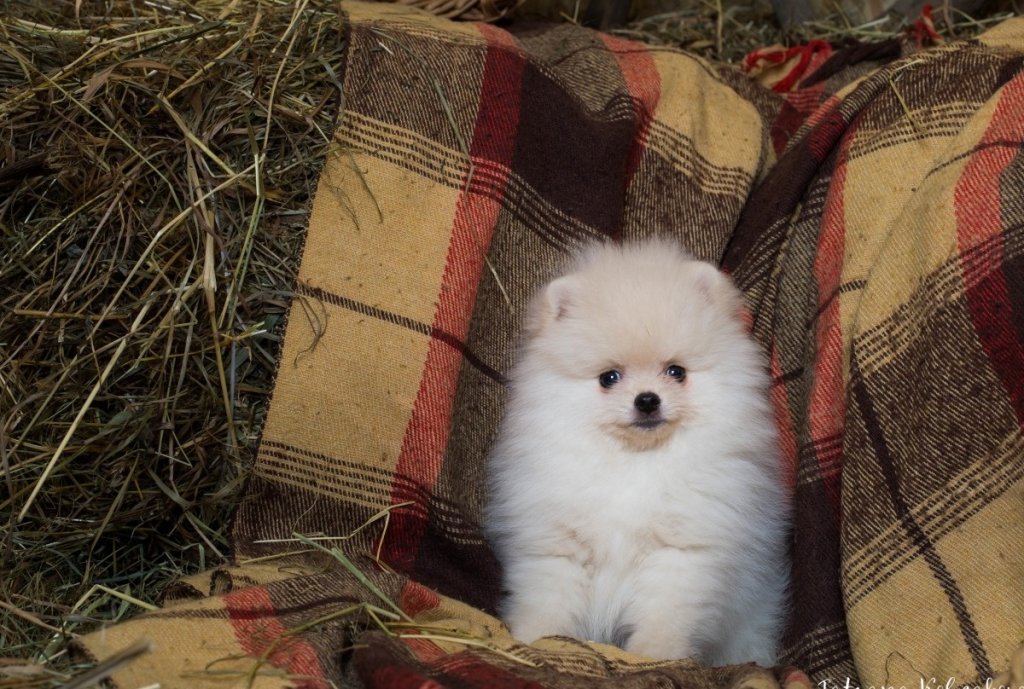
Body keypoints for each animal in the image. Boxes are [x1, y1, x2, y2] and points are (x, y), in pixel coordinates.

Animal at [483, 237, 786, 667]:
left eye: (676, 372)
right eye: (609, 378)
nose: (647, 400)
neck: (635, 462)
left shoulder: (682, 552)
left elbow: (666, 612)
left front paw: (655, 653)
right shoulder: (557, 545)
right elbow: (548, 600)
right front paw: (536, 640)